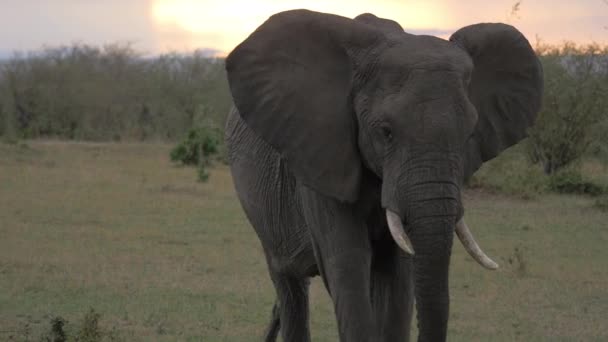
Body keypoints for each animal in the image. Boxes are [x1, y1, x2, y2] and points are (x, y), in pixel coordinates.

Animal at [222, 9, 540, 340]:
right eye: (386, 132)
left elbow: (397, 277)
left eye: (469, 135)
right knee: (289, 286)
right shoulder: (322, 158)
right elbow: (348, 265)